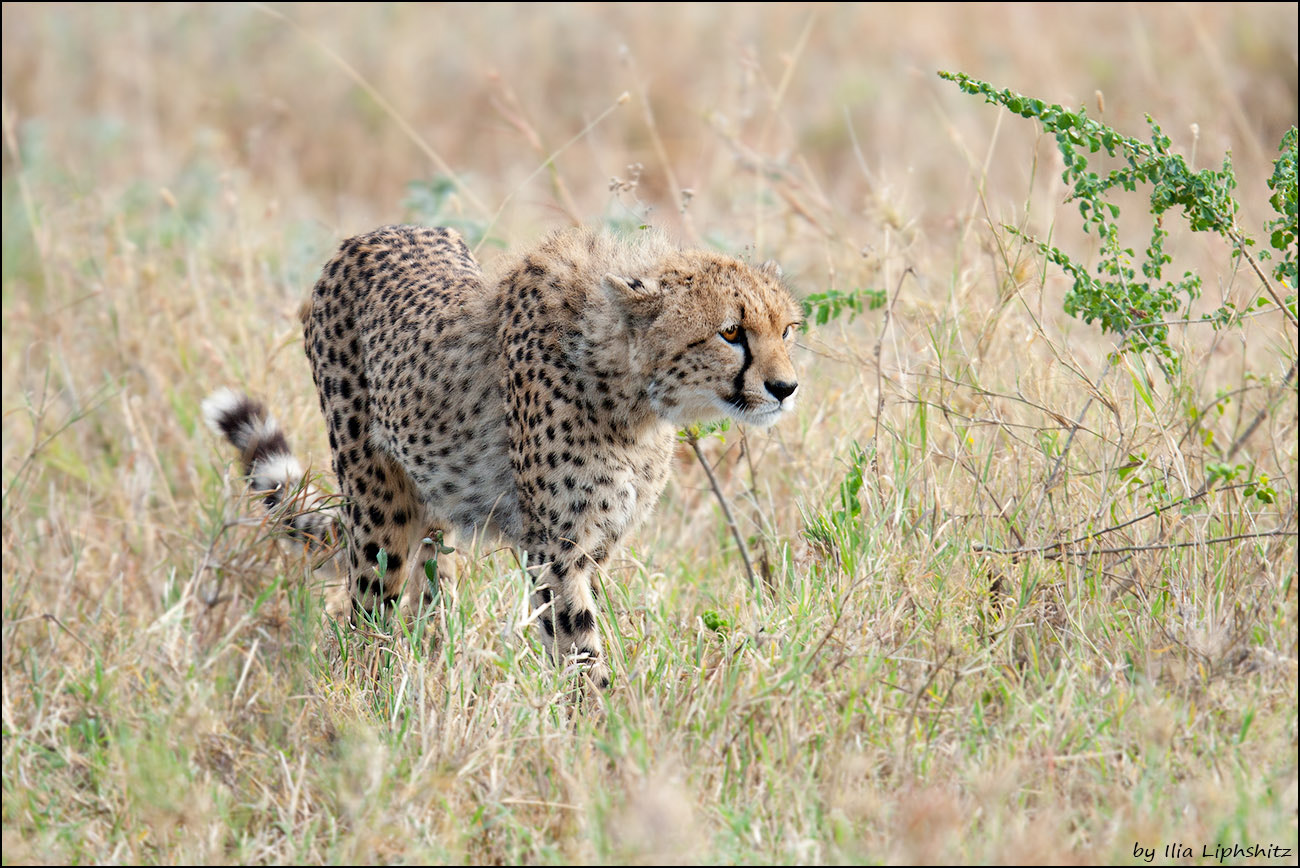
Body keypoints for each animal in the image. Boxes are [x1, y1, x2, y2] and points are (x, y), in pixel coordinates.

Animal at [240, 227, 800, 686]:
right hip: (378, 508)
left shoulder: (596, 546)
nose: (786, 388)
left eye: (788, 329)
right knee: (366, 611)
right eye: (731, 332)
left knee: (429, 591)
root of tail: (369, 236)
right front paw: (598, 730)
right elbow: (578, 646)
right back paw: (367, 696)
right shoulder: (557, 549)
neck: (627, 388)